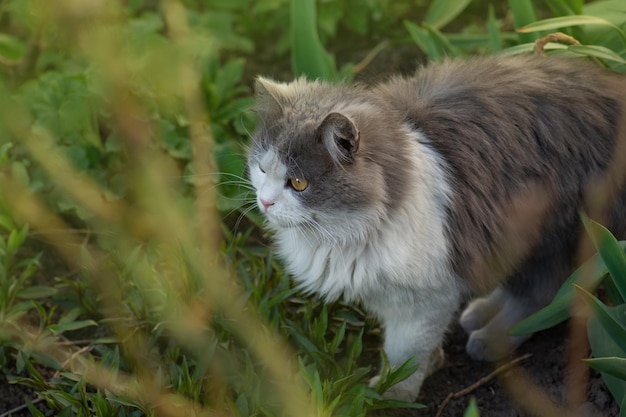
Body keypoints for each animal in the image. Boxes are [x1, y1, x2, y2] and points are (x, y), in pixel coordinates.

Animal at [247, 55, 624, 400]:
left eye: (298, 183)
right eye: (262, 169)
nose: (265, 202)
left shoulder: (426, 296)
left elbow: (405, 352)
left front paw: (391, 394)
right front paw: (429, 365)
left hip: (548, 233)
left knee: (544, 291)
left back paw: (490, 338)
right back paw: (479, 312)